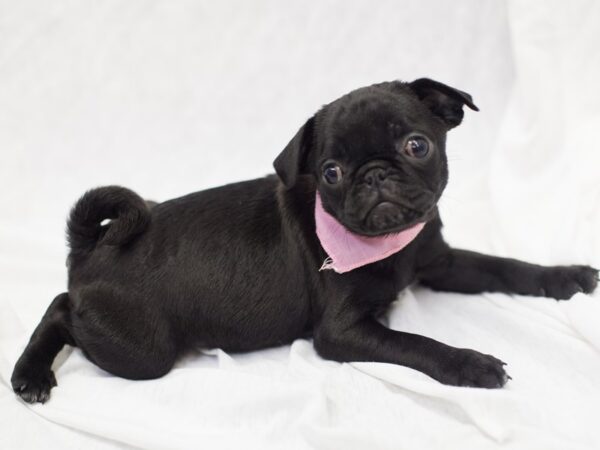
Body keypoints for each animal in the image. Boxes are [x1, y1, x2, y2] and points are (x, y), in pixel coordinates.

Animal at [11, 78, 596, 404]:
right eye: (331, 171)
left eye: (417, 145)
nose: (374, 175)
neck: (389, 244)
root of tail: (92, 249)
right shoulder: (341, 333)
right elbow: (418, 344)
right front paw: (471, 364)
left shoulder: (441, 262)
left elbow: (504, 266)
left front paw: (564, 275)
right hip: (144, 352)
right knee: (61, 310)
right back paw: (30, 373)